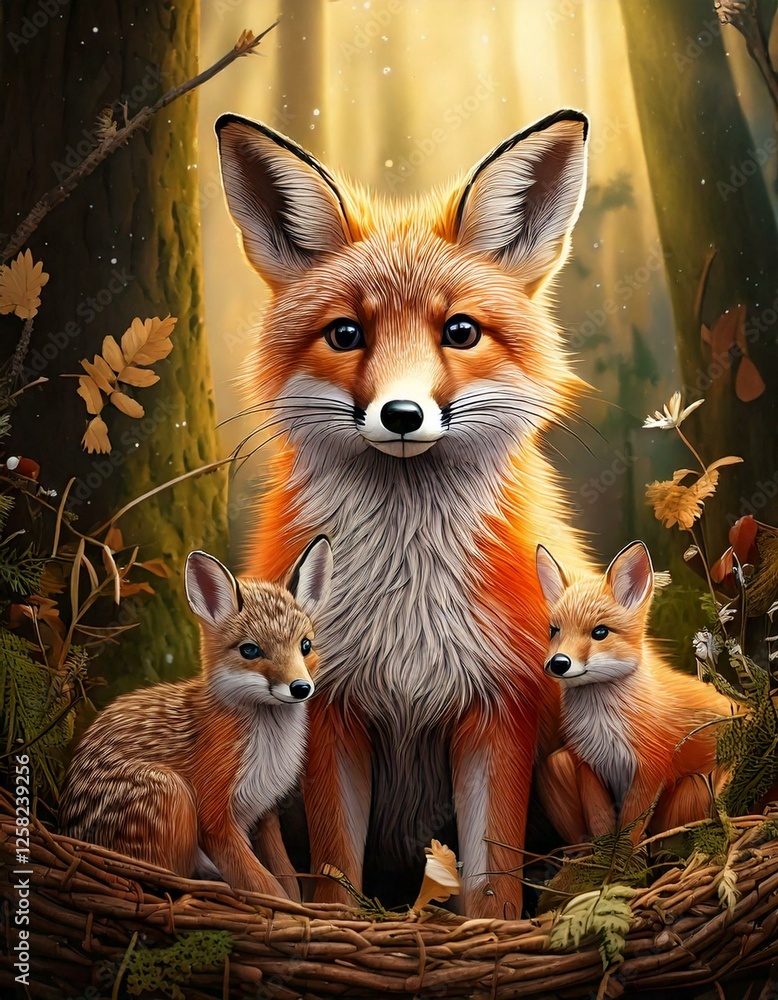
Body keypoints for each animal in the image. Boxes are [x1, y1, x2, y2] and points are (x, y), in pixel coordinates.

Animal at [59, 537, 333, 900]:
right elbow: (265, 887)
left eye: (305, 646)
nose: (301, 687)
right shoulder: (214, 817)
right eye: (250, 651)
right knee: (168, 879)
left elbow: (286, 880)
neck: (268, 750)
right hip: (172, 793)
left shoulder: (265, 813)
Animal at [216, 108, 594, 917]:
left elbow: (493, 882)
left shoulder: (499, 709)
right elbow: (335, 875)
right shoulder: (328, 709)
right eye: (346, 334)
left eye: (460, 332)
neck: (407, 607)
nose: (400, 414)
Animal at [535, 540, 732, 844]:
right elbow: (601, 828)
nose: (558, 663)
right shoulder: (587, 766)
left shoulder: (650, 769)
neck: (603, 727)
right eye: (554, 631)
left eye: (600, 632)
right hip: (556, 765)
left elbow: (629, 834)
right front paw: (601, 859)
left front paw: (622, 858)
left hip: (694, 786)